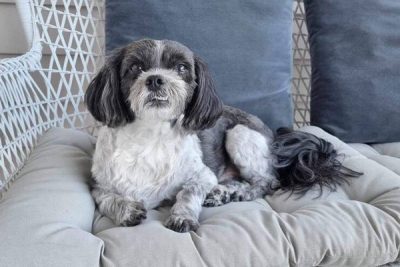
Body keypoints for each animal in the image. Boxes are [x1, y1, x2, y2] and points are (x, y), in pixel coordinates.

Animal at [84, 38, 360, 233]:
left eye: (181, 68)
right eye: (135, 67)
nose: (155, 79)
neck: (150, 137)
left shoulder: (202, 175)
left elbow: (188, 193)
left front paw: (182, 216)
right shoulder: (99, 184)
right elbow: (108, 198)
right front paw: (127, 210)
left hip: (240, 134)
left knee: (267, 181)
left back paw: (235, 193)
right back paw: (223, 192)